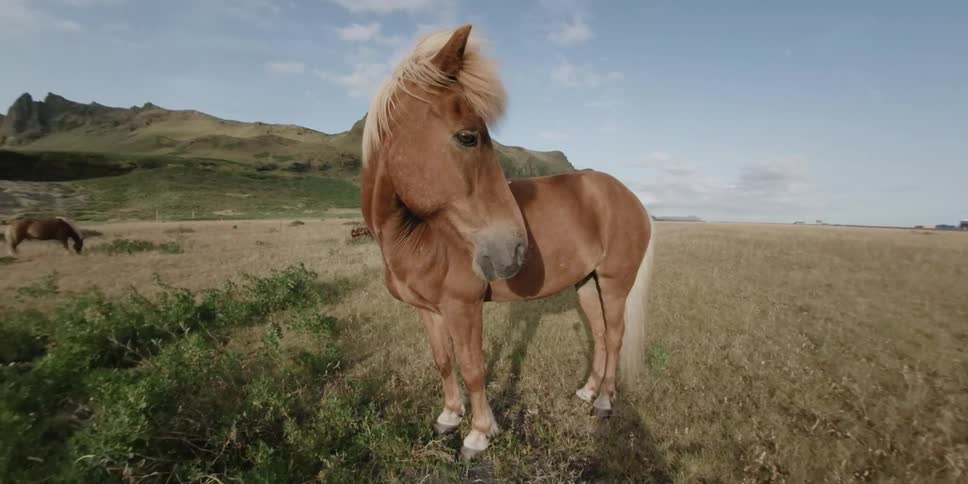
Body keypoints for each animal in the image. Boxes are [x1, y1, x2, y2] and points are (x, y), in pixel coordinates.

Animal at [360, 25, 655, 459]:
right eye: (468, 137)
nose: (513, 250)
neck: (417, 238)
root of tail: (628, 197)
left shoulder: (464, 308)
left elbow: (472, 368)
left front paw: (479, 434)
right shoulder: (428, 310)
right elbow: (443, 361)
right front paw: (449, 417)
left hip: (615, 282)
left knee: (615, 335)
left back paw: (604, 401)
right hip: (586, 283)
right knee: (601, 335)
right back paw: (588, 391)